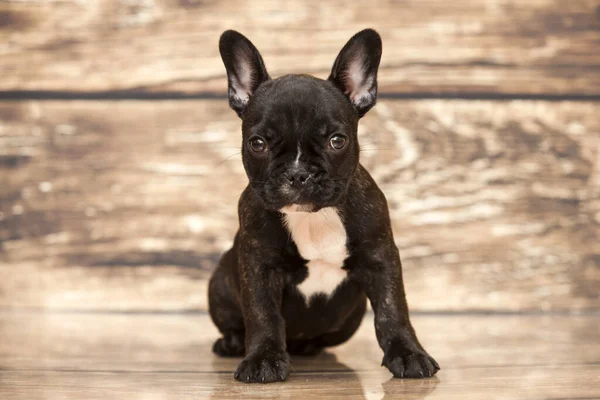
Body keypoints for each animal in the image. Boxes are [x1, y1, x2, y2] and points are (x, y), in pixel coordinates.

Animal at [209, 26, 438, 382]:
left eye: (337, 141)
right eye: (257, 144)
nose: (298, 173)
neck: (314, 217)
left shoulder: (380, 257)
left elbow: (393, 309)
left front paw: (408, 353)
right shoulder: (258, 265)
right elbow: (262, 314)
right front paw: (262, 359)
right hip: (218, 283)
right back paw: (232, 342)